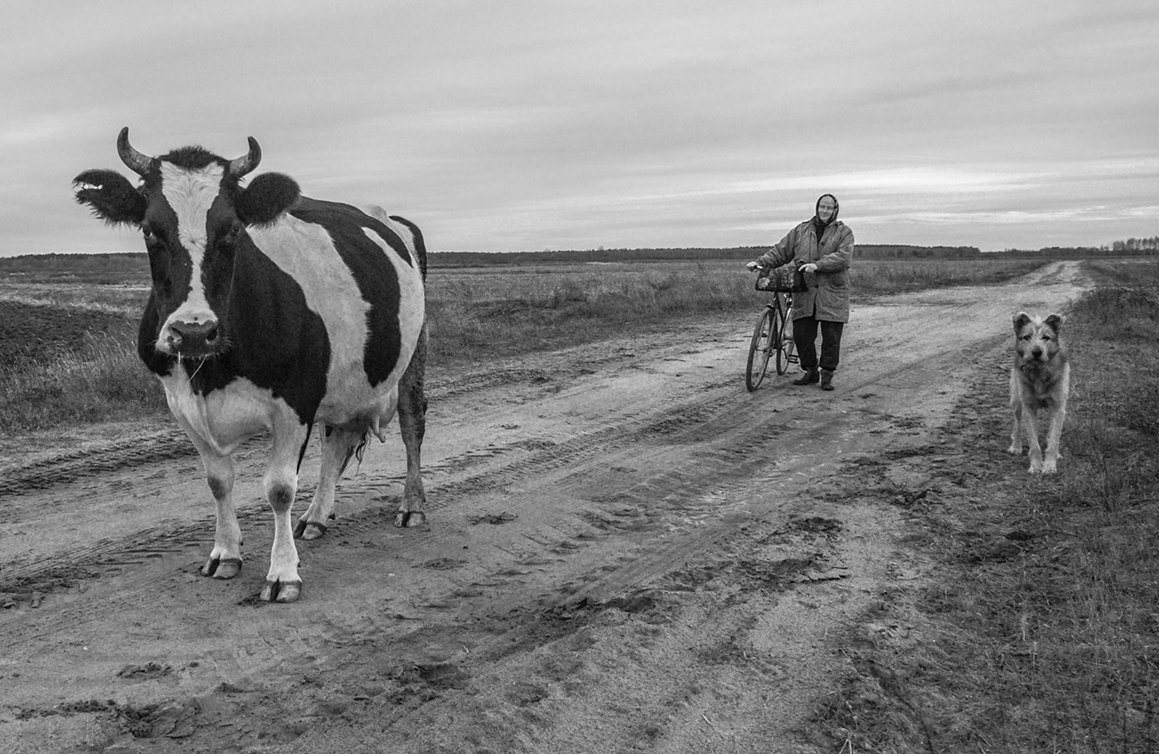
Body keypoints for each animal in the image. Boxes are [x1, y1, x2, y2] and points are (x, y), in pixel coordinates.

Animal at [75, 128, 431, 602]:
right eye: (150, 230)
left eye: (232, 230)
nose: (193, 331)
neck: (212, 372)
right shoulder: (181, 403)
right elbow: (218, 482)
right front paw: (225, 553)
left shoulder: (296, 401)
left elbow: (279, 489)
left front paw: (283, 573)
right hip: (342, 380)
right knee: (336, 439)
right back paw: (316, 517)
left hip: (413, 354)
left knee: (412, 424)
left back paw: (412, 505)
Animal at [1006, 310, 1066, 474]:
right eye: (1027, 337)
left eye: (1046, 337)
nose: (1037, 352)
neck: (1039, 371)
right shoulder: (1029, 407)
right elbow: (1033, 442)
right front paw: (1036, 466)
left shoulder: (1058, 407)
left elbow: (1053, 438)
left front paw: (1050, 465)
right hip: (1016, 400)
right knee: (1017, 424)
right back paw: (1016, 446)